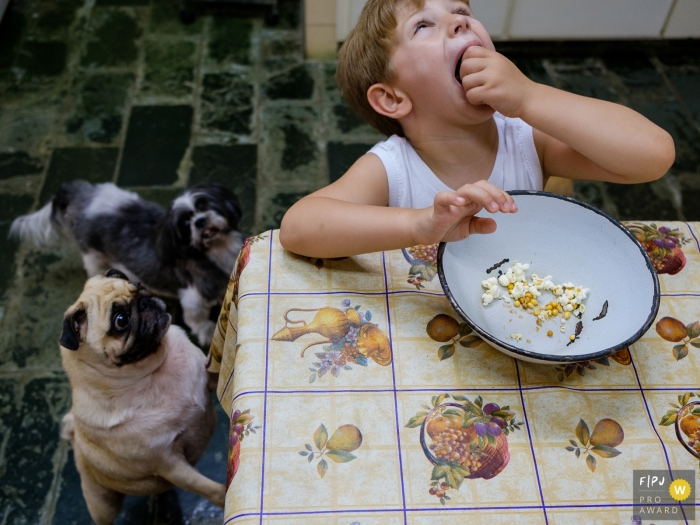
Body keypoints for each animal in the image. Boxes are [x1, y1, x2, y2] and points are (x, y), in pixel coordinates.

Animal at [7, 182, 243, 346]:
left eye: (204, 205)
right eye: (185, 224)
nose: (200, 221)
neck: (217, 250)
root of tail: (80, 196)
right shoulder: (193, 298)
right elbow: (197, 319)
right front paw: (207, 332)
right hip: (94, 255)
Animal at [60, 268, 226, 520]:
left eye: (139, 286)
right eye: (121, 321)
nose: (145, 301)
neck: (154, 369)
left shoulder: (207, 380)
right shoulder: (169, 464)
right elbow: (209, 488)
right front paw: (227, 498)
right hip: (102, 503)